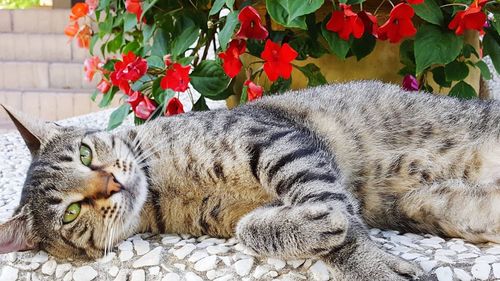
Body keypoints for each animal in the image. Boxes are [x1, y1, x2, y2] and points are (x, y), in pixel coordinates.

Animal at [1, 80, 498, 278]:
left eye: (85, 155)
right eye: (70, 214)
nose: (111, 184)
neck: (159, 184)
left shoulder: (274, 138)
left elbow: (331, 207)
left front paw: (363, 256)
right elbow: (248, 229)